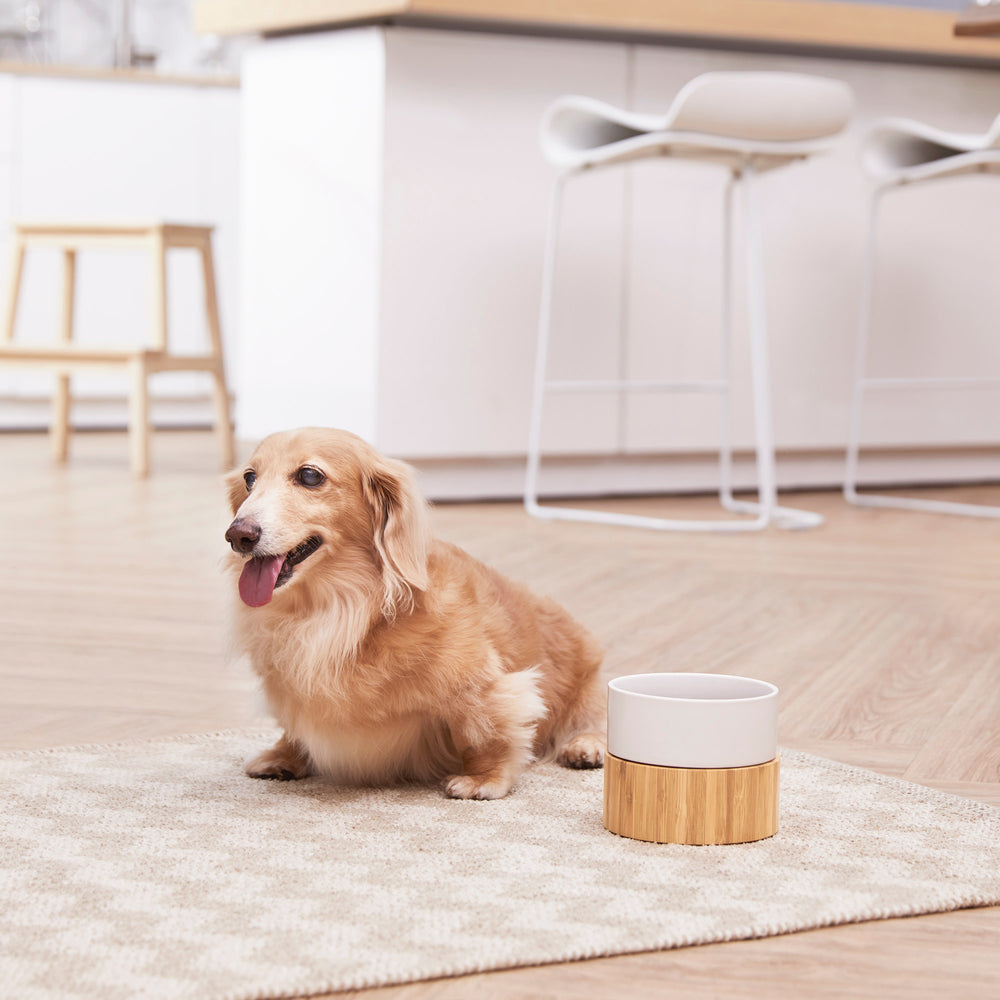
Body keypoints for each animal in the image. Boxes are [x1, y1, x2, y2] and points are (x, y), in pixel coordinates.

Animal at [226, 426, 604, 800]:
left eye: (309, 476)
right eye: (249, 478)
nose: (238, 534)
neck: (341, 609)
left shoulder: (485, 686)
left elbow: (483, 733)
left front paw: (483, 779)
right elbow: (293, 728)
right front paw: (283, 755)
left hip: (590, 681)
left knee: (595, 719)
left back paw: (585, 746)